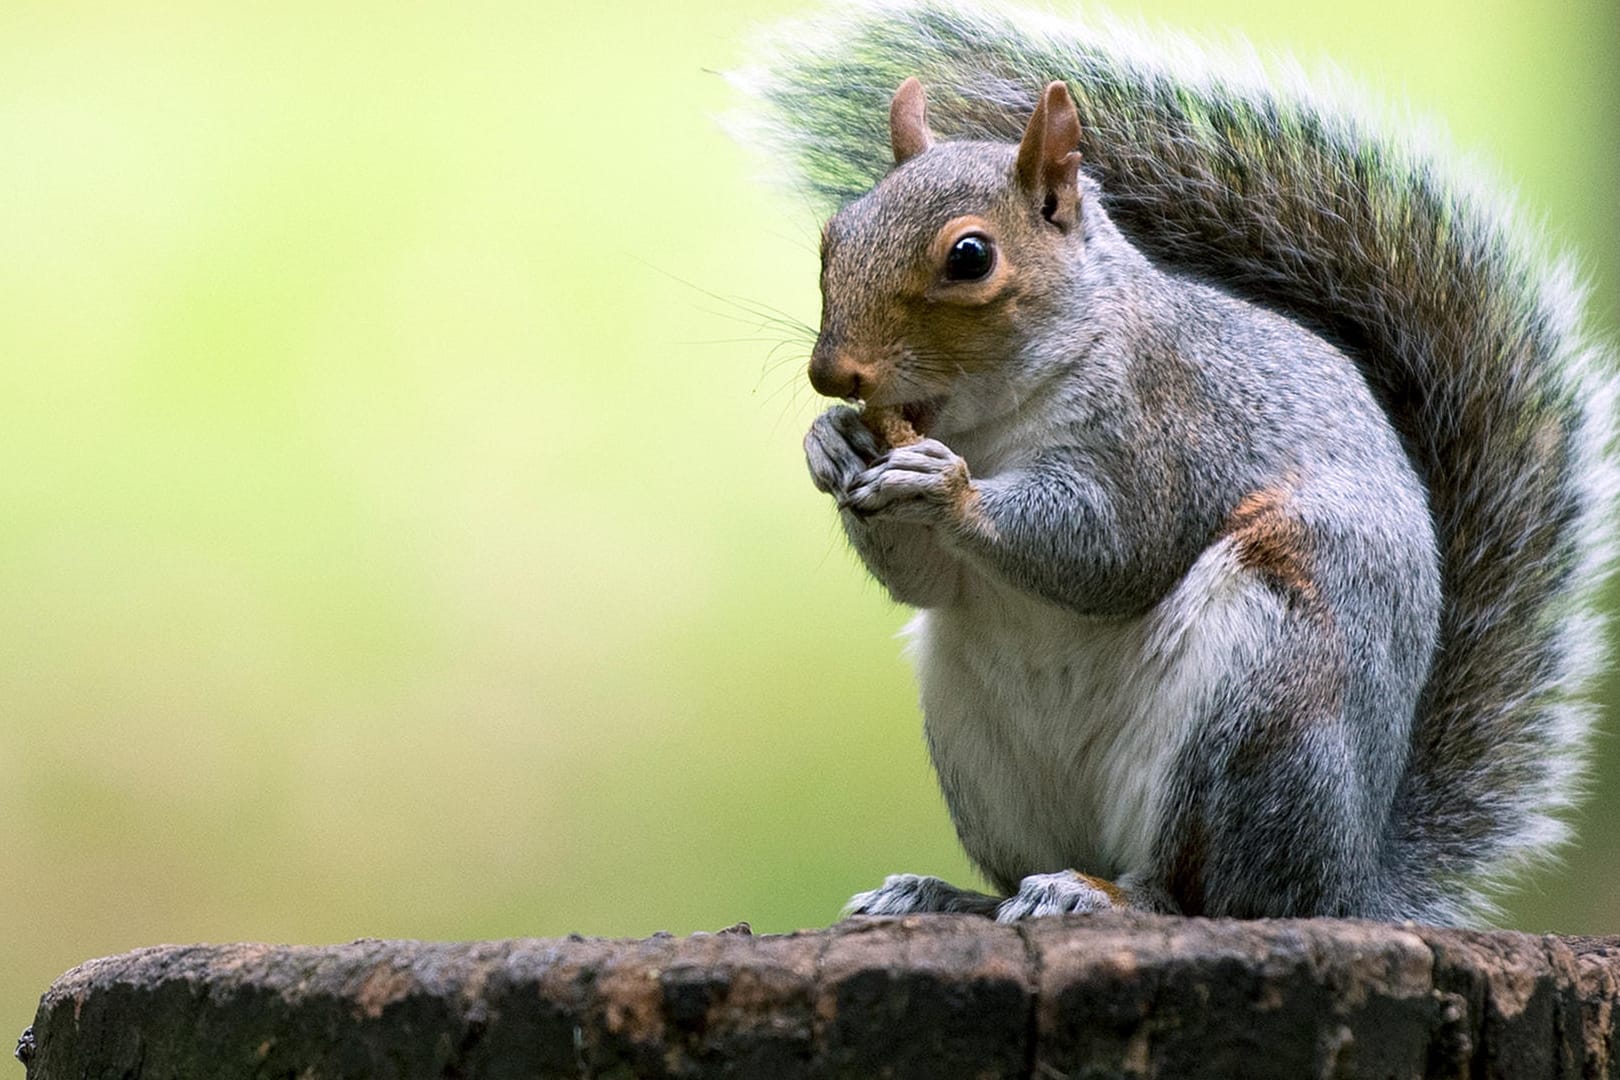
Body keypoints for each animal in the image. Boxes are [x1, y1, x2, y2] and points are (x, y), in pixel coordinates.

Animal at [738, 2, 1620, 932]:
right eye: (835, 236)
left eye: (970, 257)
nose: (833, 374)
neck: (992, 421)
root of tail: (1350, 886)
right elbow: (930, 582)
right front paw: (834, 442)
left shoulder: (1168, 431)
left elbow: (1116, 550)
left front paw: (945, 488)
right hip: (978, 746)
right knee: (1027, 869)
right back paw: (949, 896)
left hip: (1261, 705)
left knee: (1204, 894)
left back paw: (1099, 894)